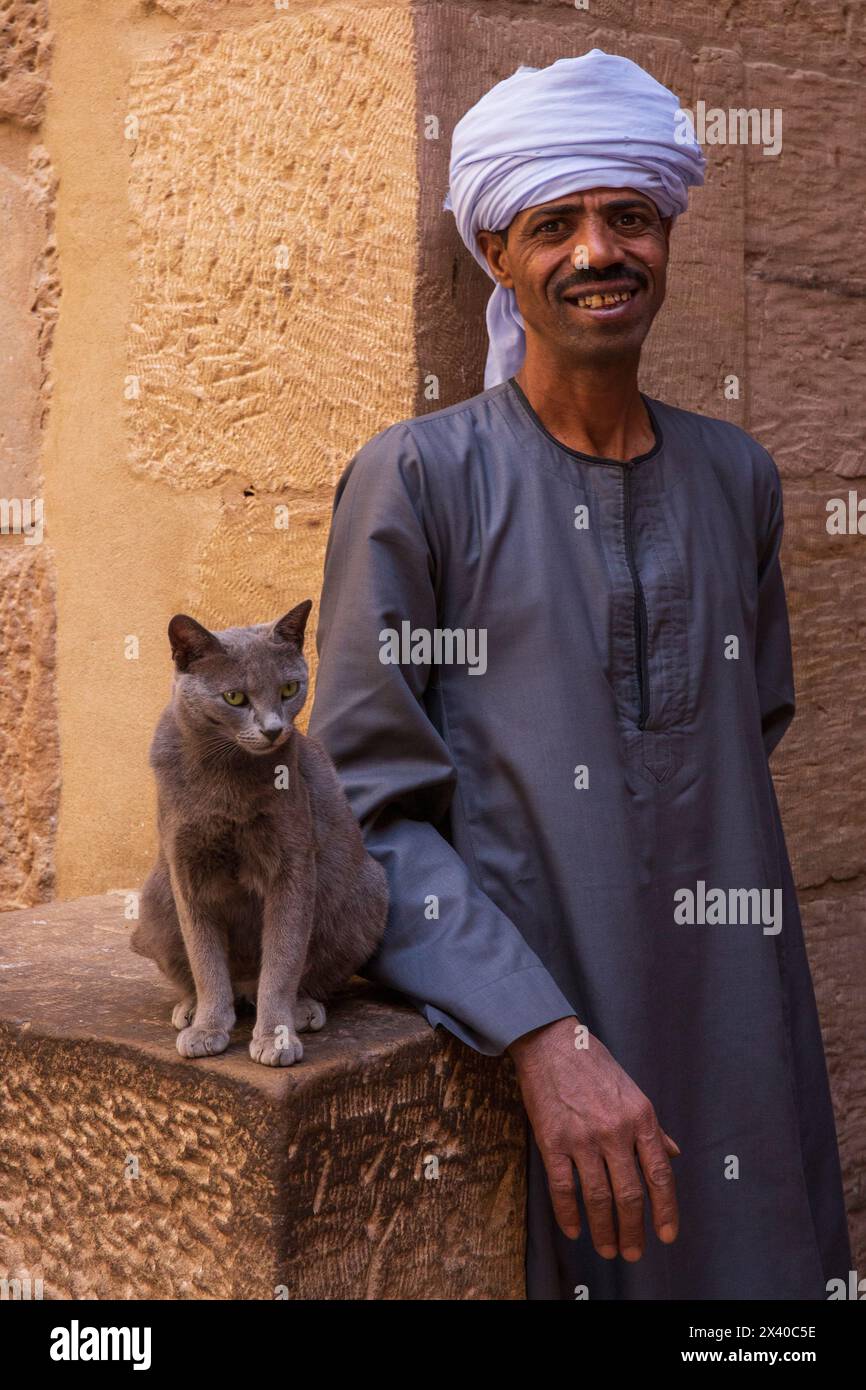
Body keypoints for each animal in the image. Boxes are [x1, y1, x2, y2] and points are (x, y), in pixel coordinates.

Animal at [132, 597, 389, 1061]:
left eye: (289, 689)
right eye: (234, 697)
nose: (274, 729)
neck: (227, 777)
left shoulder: (293, 864)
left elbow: (283, 959)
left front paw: (275, 1036)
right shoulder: (186, 869)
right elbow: (205, 959)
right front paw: (207, 1027)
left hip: (366, 895)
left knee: (304, 974)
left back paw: (302, 1009)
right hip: (154, 899)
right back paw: (190, 1008)